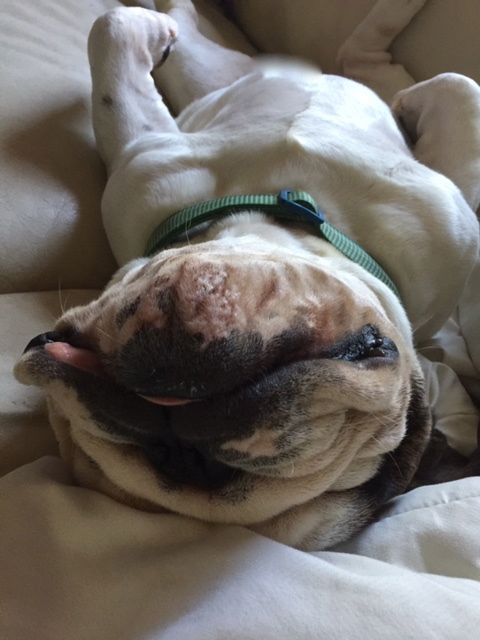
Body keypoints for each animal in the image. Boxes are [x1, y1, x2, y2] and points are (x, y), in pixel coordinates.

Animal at [14, 0, 480, 550]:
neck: (285, 214)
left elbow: (467, 116)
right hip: (209, 72)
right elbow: (111, 54)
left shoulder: (452, 238)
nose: (182, 441)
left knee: (399, 70)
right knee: (361, 61)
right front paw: (138, 29)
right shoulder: (140, 168)